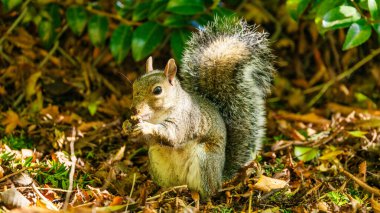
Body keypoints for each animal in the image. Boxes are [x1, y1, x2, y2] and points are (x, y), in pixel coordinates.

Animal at [127, 17, 276, 199]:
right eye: (135, 84)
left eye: (157, 90)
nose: (135, 110)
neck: (158, 115)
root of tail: (220, 176)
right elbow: (150, 140)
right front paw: (127, 126)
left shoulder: (187, 119)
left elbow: (173, 134)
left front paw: (145, 126)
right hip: (157, 161)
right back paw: (164, 191)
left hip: (205, 160)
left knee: (208, 190)